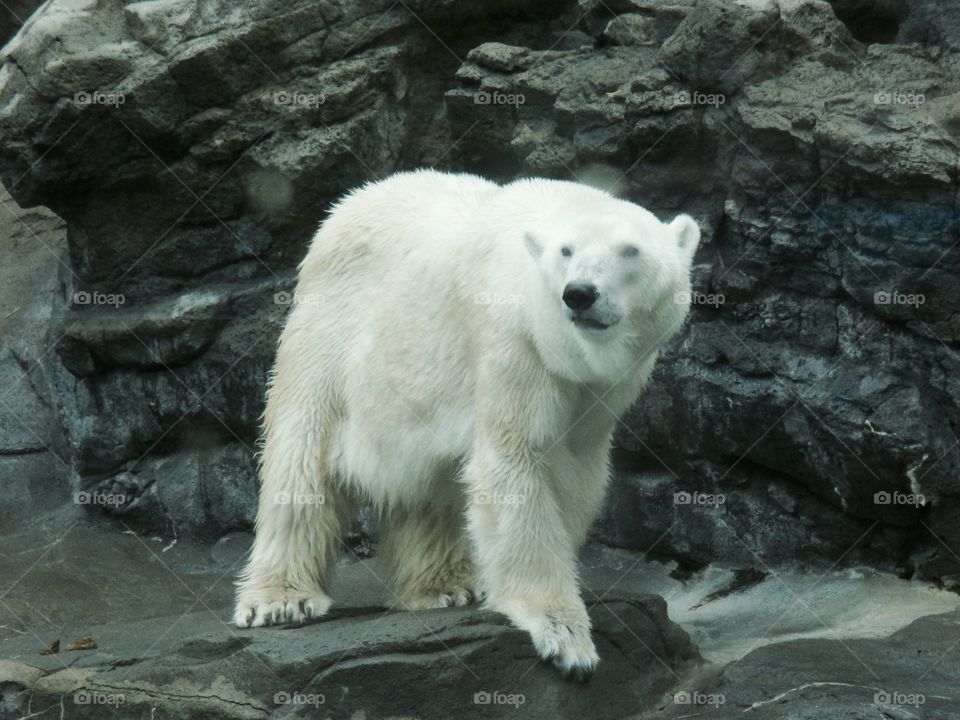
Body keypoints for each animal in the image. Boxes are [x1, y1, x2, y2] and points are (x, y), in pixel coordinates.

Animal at [234, 169, 700, 680]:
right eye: (567, 251)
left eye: (630, 250)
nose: (579, 293)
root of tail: (341, 210)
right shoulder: (514, 344)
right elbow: (515, 462)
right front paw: (565, 637)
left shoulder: (599, 391)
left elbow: (573, 471)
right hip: (331, 338)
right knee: (302, 460)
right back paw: (281, 600)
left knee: (430, 487)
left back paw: (443, 586)